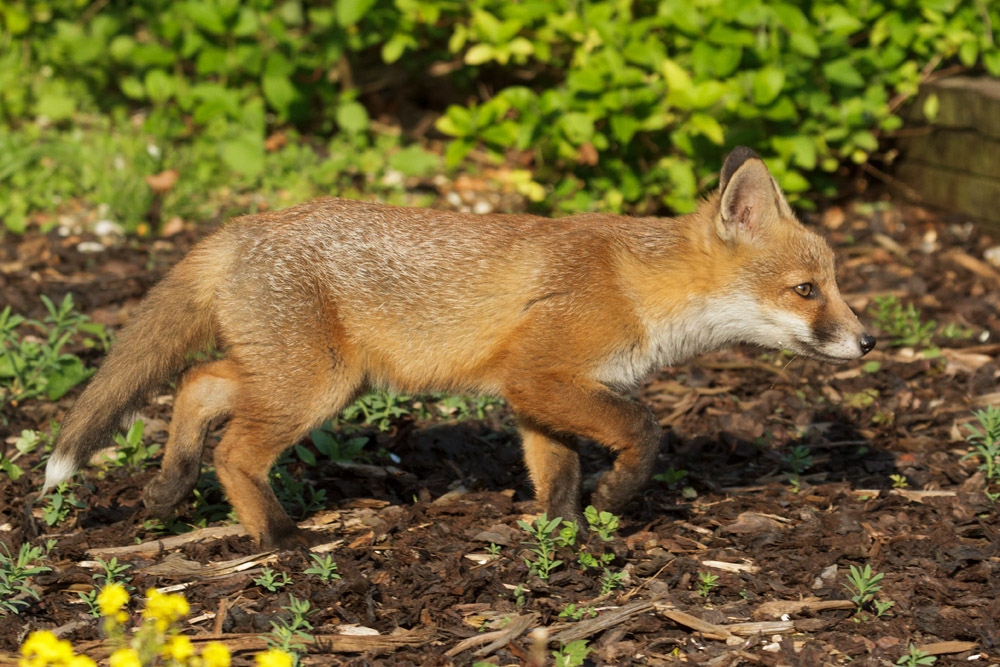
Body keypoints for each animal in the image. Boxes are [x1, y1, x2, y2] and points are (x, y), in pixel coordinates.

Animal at [42, 147, 874, 548]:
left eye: (831, 285)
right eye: (808, 290)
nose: (869, 340)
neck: (638, 284)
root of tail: (246, 224)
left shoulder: (537, 396)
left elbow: (556, 472)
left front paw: (570, 536)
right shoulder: (542, 376)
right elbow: (643, 431)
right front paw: (615, 501)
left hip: (300, 374)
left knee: (198, 386)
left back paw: (165, 489)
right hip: (316, 386)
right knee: (235, 448)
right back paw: (280, 540)